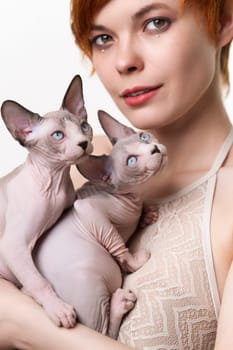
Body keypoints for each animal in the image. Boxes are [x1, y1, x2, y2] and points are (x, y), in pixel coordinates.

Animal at [0, 75, 93, 330]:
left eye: (84, 127)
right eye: (58, 135)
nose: (84, 143)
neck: (54, 184)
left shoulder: (69, 200)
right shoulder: (13, 246)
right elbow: (38, 281)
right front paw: (59, 310)